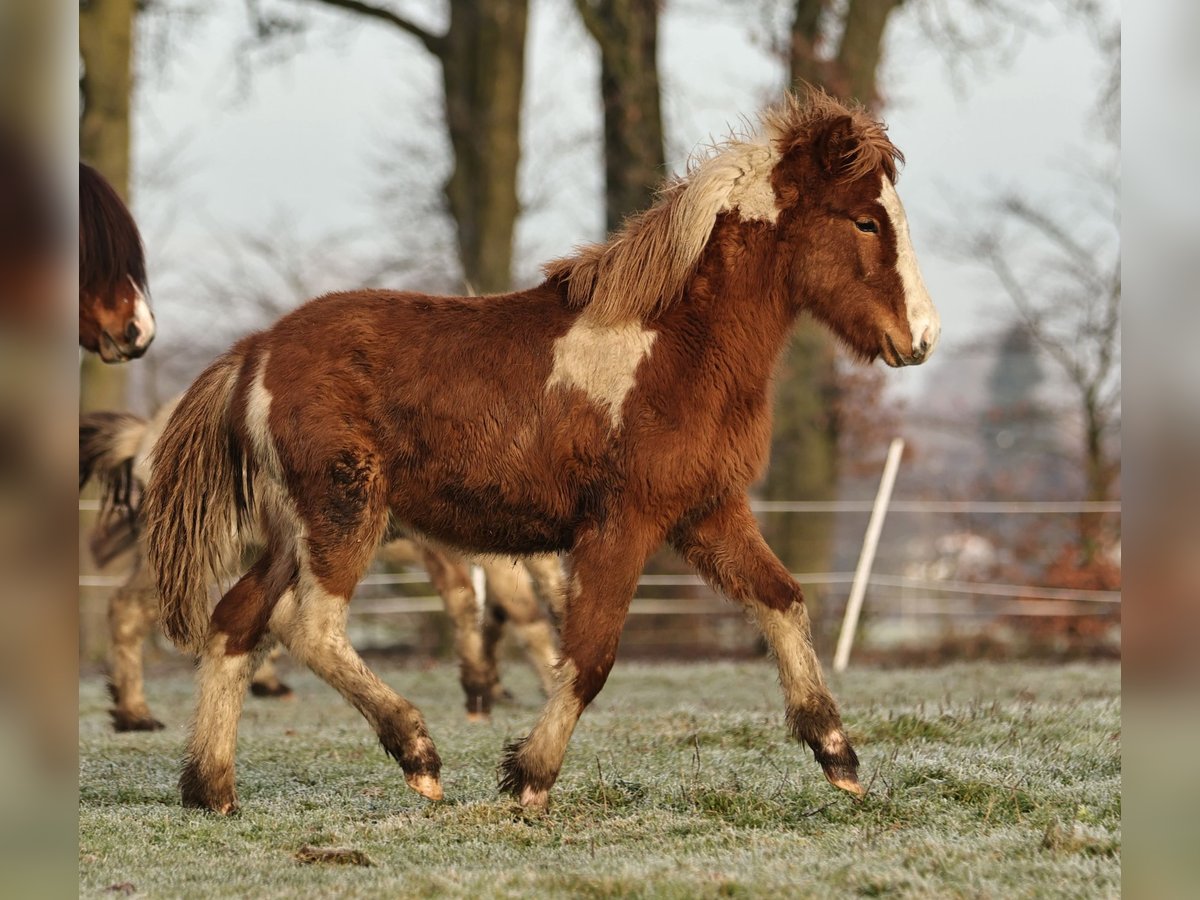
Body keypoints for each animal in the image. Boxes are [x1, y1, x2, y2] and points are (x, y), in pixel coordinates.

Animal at [145, 93, 940, 816]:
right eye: (866, 220)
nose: (923, 338)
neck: (676, 348)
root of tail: (256, 351)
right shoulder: (621, 526)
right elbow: (590, 658)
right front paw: (530, 777)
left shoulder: (709, 513)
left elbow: (783, 600)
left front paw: (838, 755)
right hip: (344, 515)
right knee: (307, 627)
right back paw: (418, 755)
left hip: (292, 532)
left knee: (236, 622)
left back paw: (211, 787)